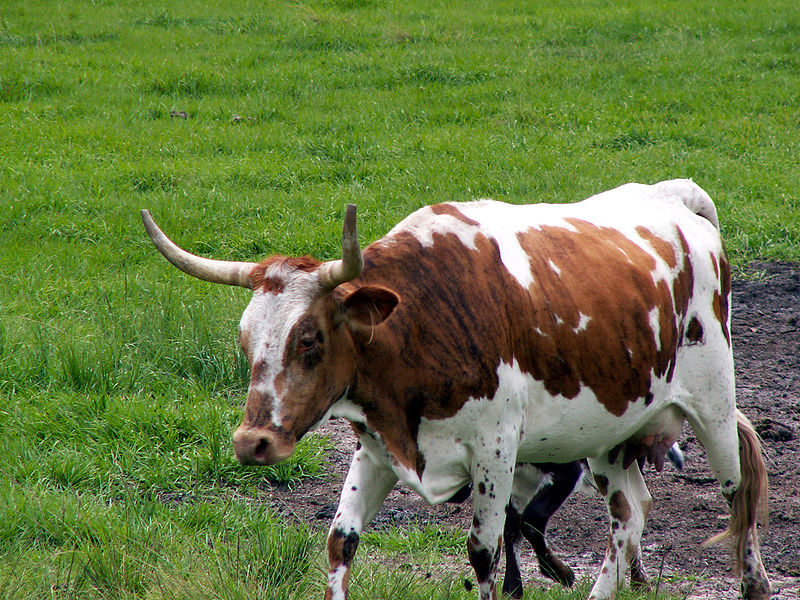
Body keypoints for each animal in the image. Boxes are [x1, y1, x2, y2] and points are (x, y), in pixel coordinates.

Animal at [142, 179, 768, 600]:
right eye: (245, 340)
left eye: (310, 339)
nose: (252, 443)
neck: (421, 321)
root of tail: (673, 199)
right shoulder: (377, 449)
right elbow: (341, 540)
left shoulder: (496, 451)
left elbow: (486, 553)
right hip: (608, 435)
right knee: (629, 515)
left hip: (713, 406)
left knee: (739, 498)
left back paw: (755, 581)